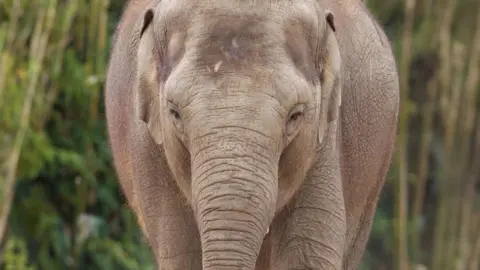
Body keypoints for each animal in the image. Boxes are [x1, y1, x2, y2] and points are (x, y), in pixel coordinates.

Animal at [106, 0, 402, 268]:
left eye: (295, 116)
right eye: (174, 113)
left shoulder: (324, 141)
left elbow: (305, 254)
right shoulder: (147, 146)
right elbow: (181, 255)